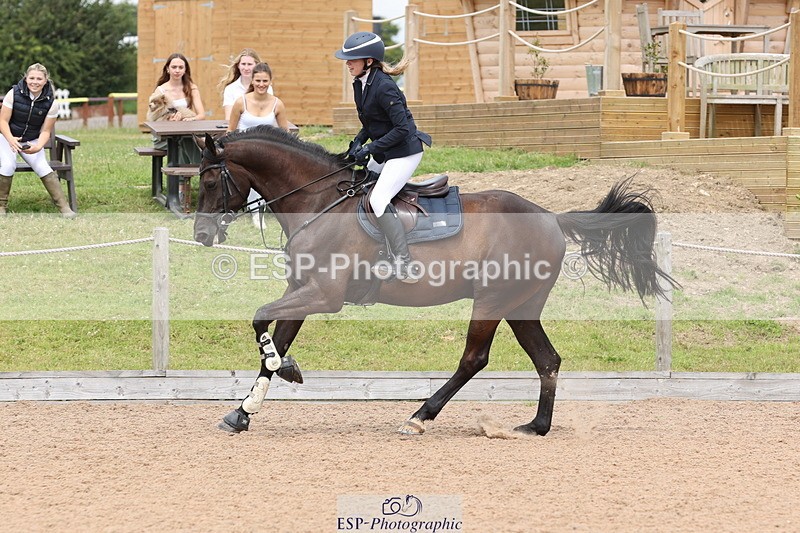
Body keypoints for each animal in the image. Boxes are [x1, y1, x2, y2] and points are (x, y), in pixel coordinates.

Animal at [193, 125, 675, 436]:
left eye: (211, 180)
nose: (201, 235)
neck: (317, 202)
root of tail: (551, 217)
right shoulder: (301, 291)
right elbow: (273, 342)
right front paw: (246, 410)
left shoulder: (323, 295)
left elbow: (260, 320)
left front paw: (283, 373)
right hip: (521, 306)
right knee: (548, 359)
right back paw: (535, 427)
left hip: (492, 300)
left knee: (474, 359)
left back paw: (420, 417)